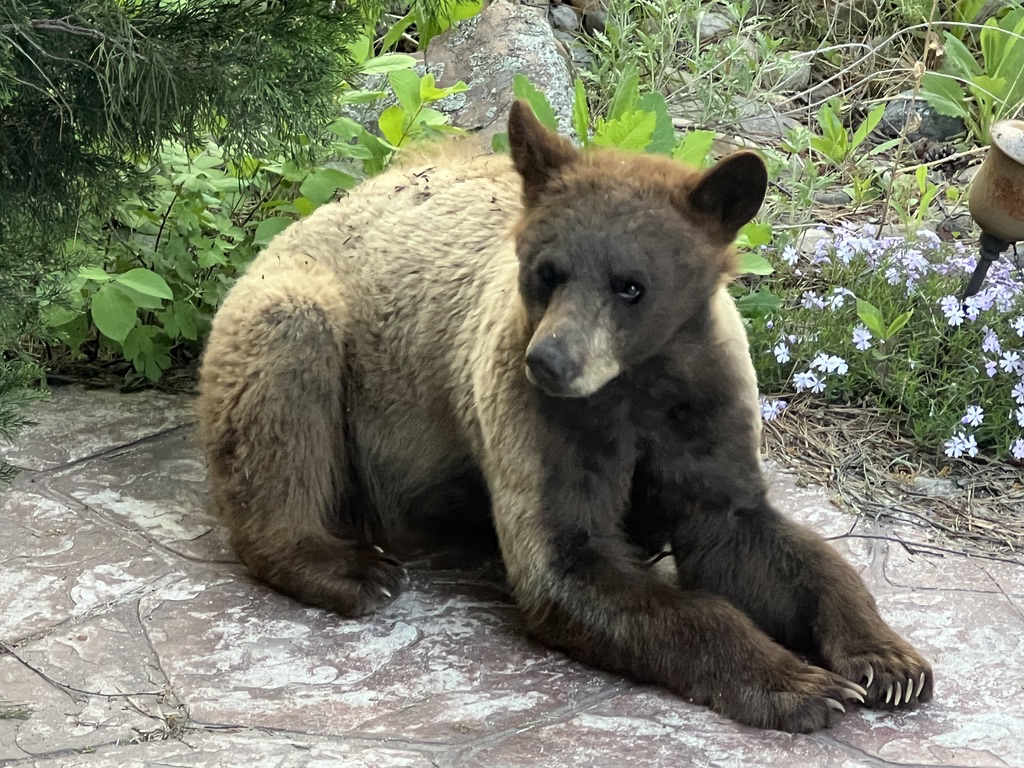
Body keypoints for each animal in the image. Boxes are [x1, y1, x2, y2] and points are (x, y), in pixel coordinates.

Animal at [195, 100, 933, 733]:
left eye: (631, 284)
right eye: (547, 270)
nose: (551, 361)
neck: (637, 383)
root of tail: (304, 219)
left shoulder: (703, 405)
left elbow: (751, 536)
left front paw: (890, 663)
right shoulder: (539, 418)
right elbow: (569, 559)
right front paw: (803, 686)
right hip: (306, 326)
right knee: (284, 391)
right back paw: (352, 568)